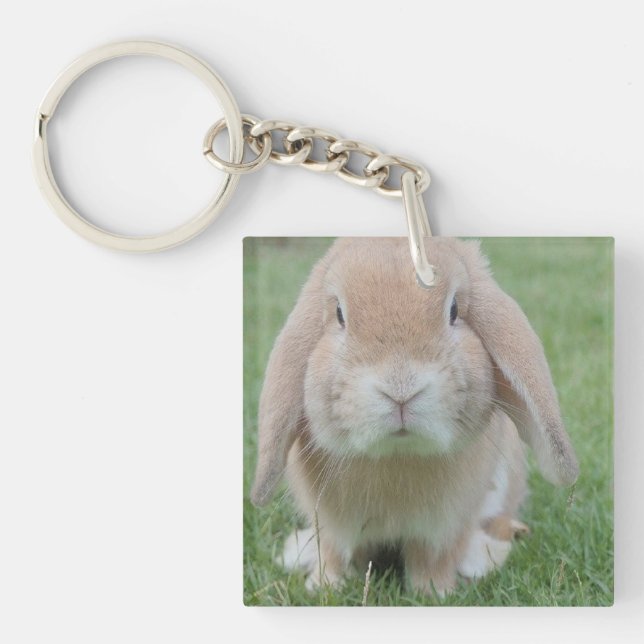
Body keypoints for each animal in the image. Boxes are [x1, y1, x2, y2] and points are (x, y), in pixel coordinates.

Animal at [250, 237, 578, 596]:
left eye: (454, 311)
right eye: (339, 314)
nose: (401, 389)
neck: (397, 455)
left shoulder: (444, 527)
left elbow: (432, 560)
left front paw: (435, 593)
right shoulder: (331, 524)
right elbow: (335, 554)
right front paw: (323, 587)